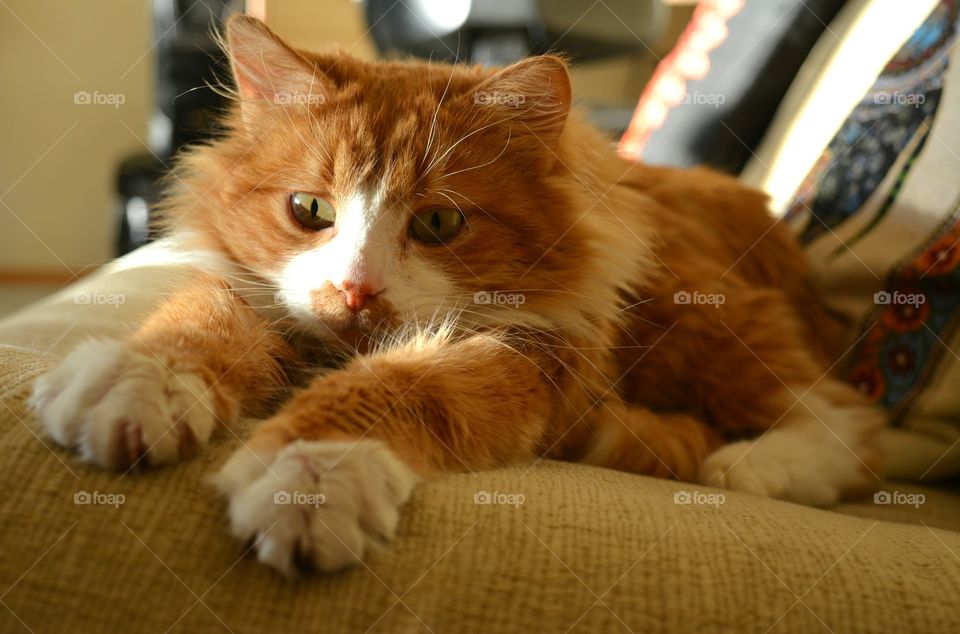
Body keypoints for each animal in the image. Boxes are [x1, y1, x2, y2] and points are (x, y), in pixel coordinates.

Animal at [30, 16, 884, 572]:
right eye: (310, 210)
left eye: (439, 222)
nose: (355, 291)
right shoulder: (254, 292)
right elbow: (202, 319)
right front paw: (139, 381)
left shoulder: (538, 357)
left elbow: (403, 386)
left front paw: (312, 474)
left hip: (695, 312)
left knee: (842, 418)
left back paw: (749, 467)